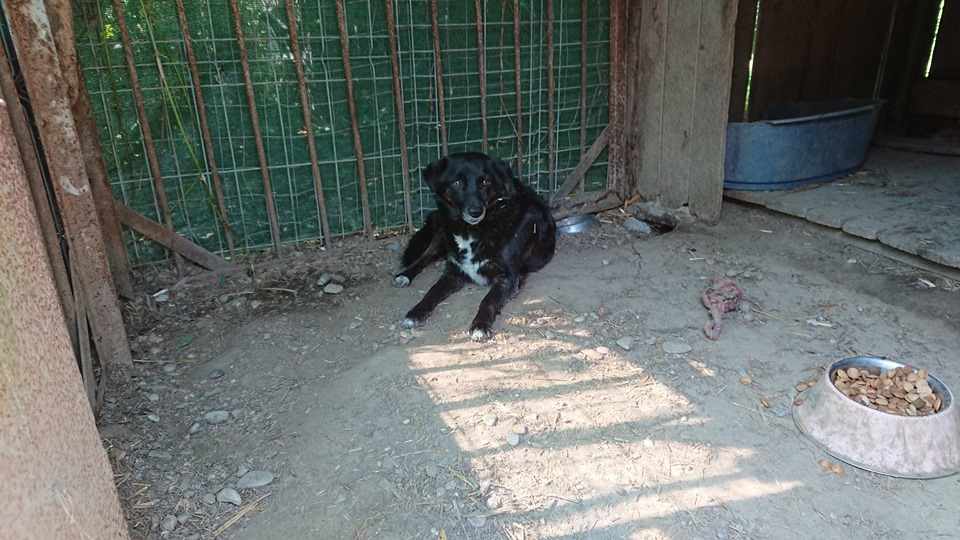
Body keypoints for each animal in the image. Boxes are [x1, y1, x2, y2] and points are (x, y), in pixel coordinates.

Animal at [394, 152, 556, 342]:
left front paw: (480, 325)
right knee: (425, 256)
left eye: (485, 182)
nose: (476, 212)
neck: (476, 229)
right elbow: (432, 291)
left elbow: (488, 300)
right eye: (457, 183)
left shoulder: (508, 277)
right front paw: (416, 312)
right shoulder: (453, 271)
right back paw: (404, 275)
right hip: (443, 235)